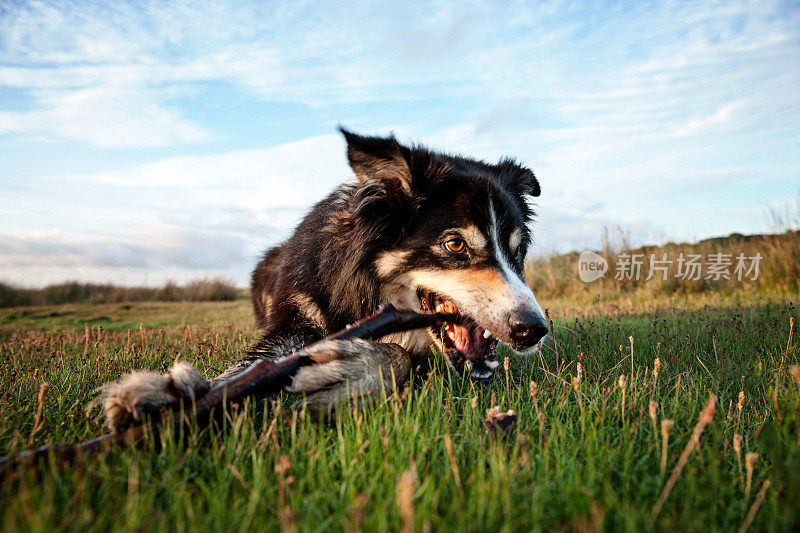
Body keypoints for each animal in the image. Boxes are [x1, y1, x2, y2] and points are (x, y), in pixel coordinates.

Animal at [94, 127, 552, 430]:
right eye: (455, 245)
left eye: (516, 252)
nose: (534, 329)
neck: (364, 287)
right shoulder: (296, 319)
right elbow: (253, 364)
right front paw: (173, 393)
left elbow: (400, 356)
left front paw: (352, 372)